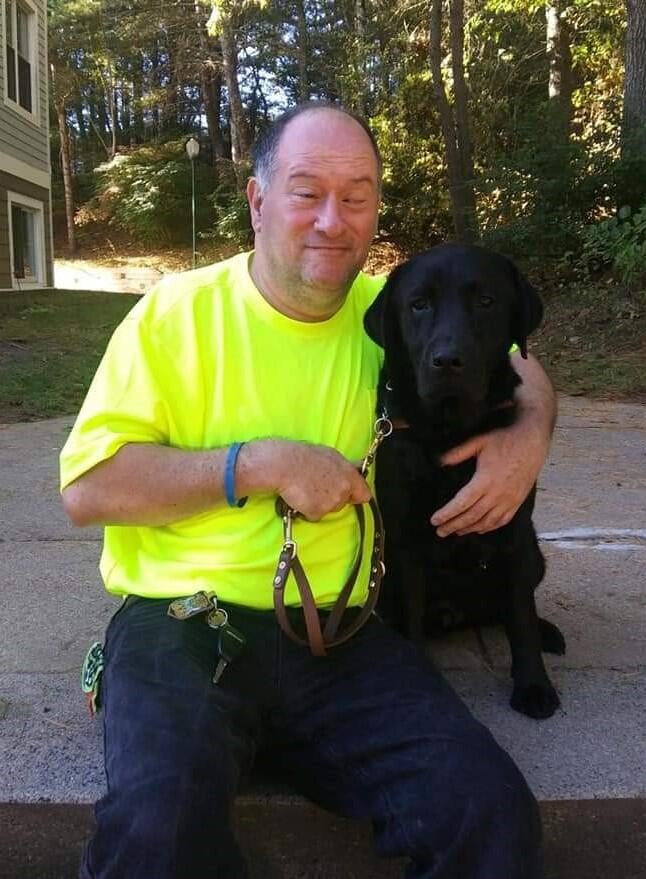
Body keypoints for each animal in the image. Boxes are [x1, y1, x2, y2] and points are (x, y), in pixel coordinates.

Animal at [364, 244, 568, 720]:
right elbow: (414, 620)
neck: (449, 428)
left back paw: (547, 632)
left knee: (511, 611)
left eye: (486, 301)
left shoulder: (513, 530)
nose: (447, 361)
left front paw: (533, 685)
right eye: (418, 304)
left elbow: (521, 619)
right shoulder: (406, 542)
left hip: (535, 554)